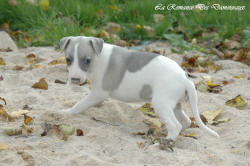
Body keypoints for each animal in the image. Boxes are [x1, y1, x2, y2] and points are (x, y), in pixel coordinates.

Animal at [59, 36, 219, 149]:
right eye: (68, 59)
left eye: (87, 60)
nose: (74, 79)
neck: (98, 57)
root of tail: (185, 78)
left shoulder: (99, 92)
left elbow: (80, 104)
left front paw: (66, 112)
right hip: (175, 105)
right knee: (185, 122)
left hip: (161, 104)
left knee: (175, 126)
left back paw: (160, 144)